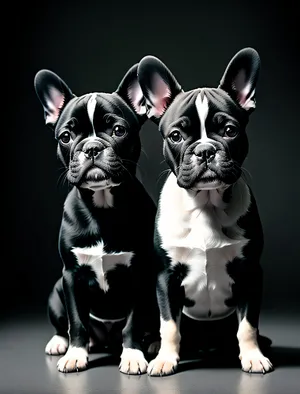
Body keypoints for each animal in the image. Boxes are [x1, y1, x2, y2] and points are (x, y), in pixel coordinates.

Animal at [34, 63, 158, 374]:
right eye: (66, 137)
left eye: (118, 130)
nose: (91, 147)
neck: (102, 207)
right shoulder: (71, 276)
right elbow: (77, 322)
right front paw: (75, 354)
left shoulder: (139, 275)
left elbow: (133, 322)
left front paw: (133, 355)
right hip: (56, 291)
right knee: (67, 325)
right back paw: (61, 343)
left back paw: (152, 342)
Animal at [137, 47, 274, 376]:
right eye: (176, 136)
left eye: (230, 131)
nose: (206, 150)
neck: (206, 204)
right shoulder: (166, 277)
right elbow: (169, 324)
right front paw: (165, 358)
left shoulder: (250, 272)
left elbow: (248, 324)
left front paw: (253, 355)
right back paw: (153, 346)